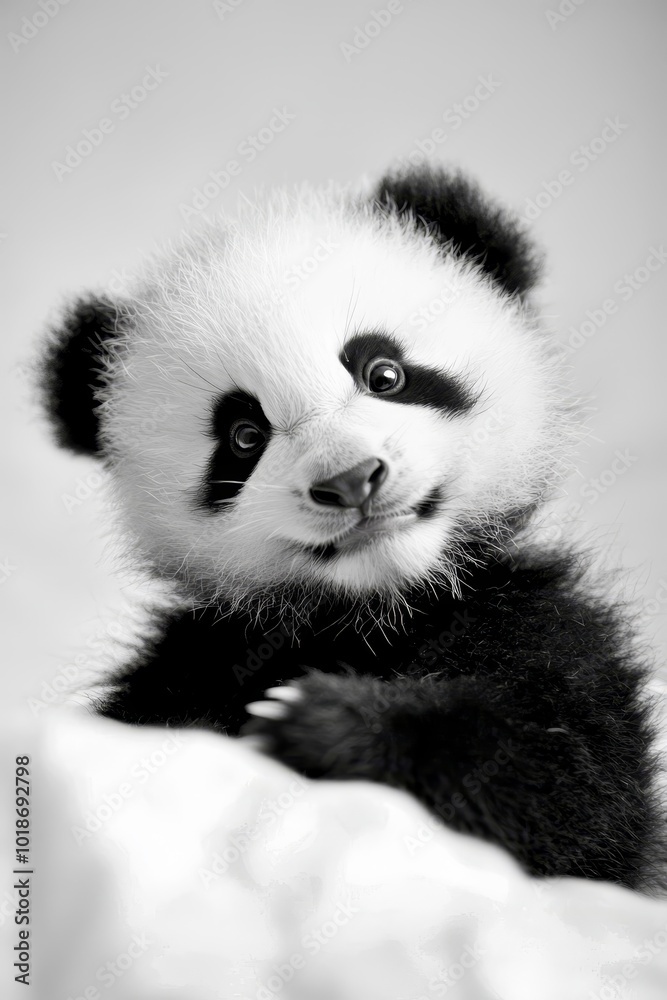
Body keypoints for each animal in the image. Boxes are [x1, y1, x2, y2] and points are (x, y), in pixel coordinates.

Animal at [39, 164, 665, 891]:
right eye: (244, 436)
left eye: (383, 373)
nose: (350, 480)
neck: (377, 607)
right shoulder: (198, 655)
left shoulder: (537, 620)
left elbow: (570, 786)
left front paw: (321, 724)